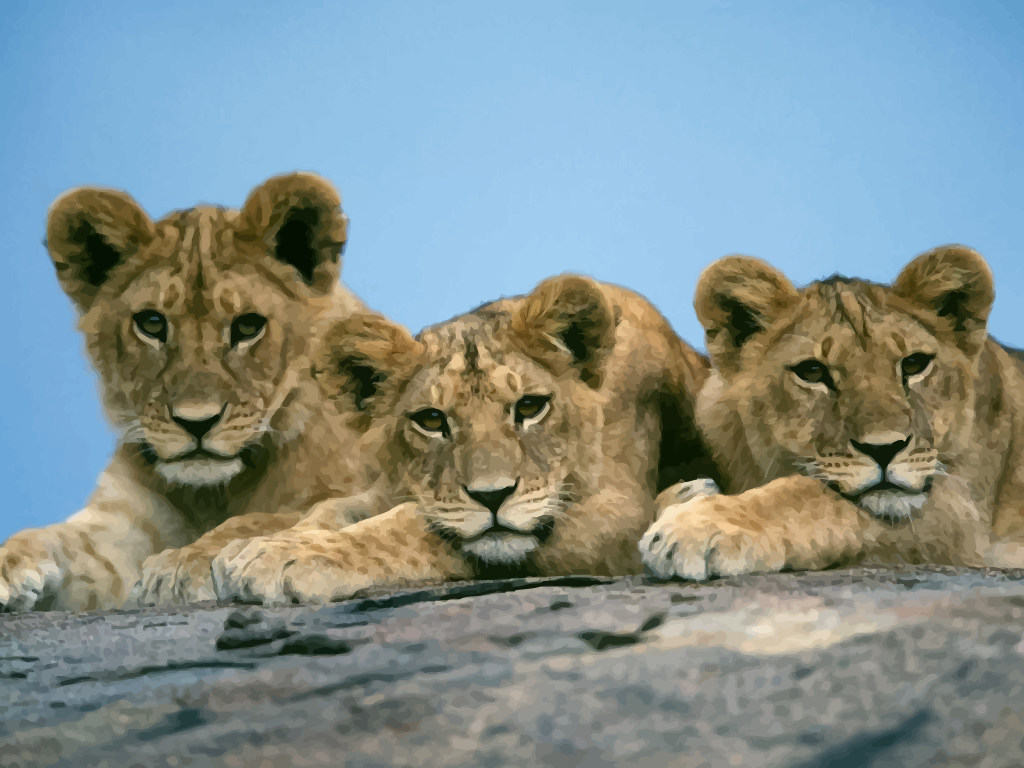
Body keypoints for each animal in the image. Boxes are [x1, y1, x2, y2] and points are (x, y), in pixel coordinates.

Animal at [0, 172, 381, 613]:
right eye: (151, 323)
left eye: (248, 327)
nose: (196, 422)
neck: (212, 495)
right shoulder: (122, 525)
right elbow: (62, 537)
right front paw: (8, 562)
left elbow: (265, 519)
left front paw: (183, 562)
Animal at [173, 274, 718, 606]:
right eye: (432, 420)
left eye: (530, 407)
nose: (492, 497)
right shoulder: (389, 485)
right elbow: (332, 511)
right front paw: (270, 543)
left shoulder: (614, 512)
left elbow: (413, 529)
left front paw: (290, 556)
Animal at [640, 244, 1024, 581]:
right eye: (812, 372)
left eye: (915, 364)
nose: (885, 449)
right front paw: (687, 495)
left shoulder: (962, 519)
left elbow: (810, 498)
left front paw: (695, 527)